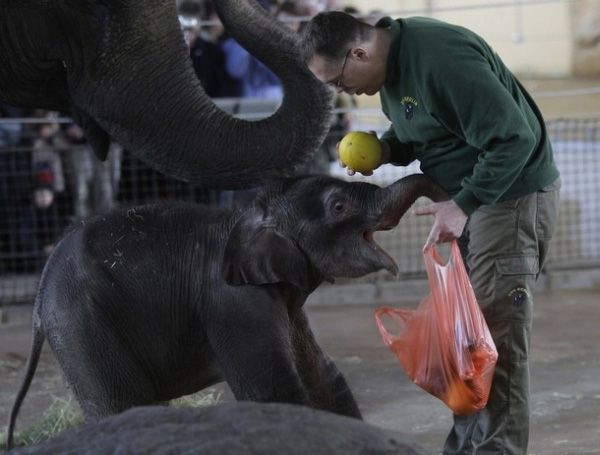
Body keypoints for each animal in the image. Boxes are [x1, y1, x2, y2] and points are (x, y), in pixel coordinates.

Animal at [5, 175, 446, 448]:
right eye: (338, 207)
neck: (252, 215)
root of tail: (39, 297)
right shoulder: (234, 303)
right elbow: (272, 392)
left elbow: (323, 376)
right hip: (82, 323)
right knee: (124, 404)